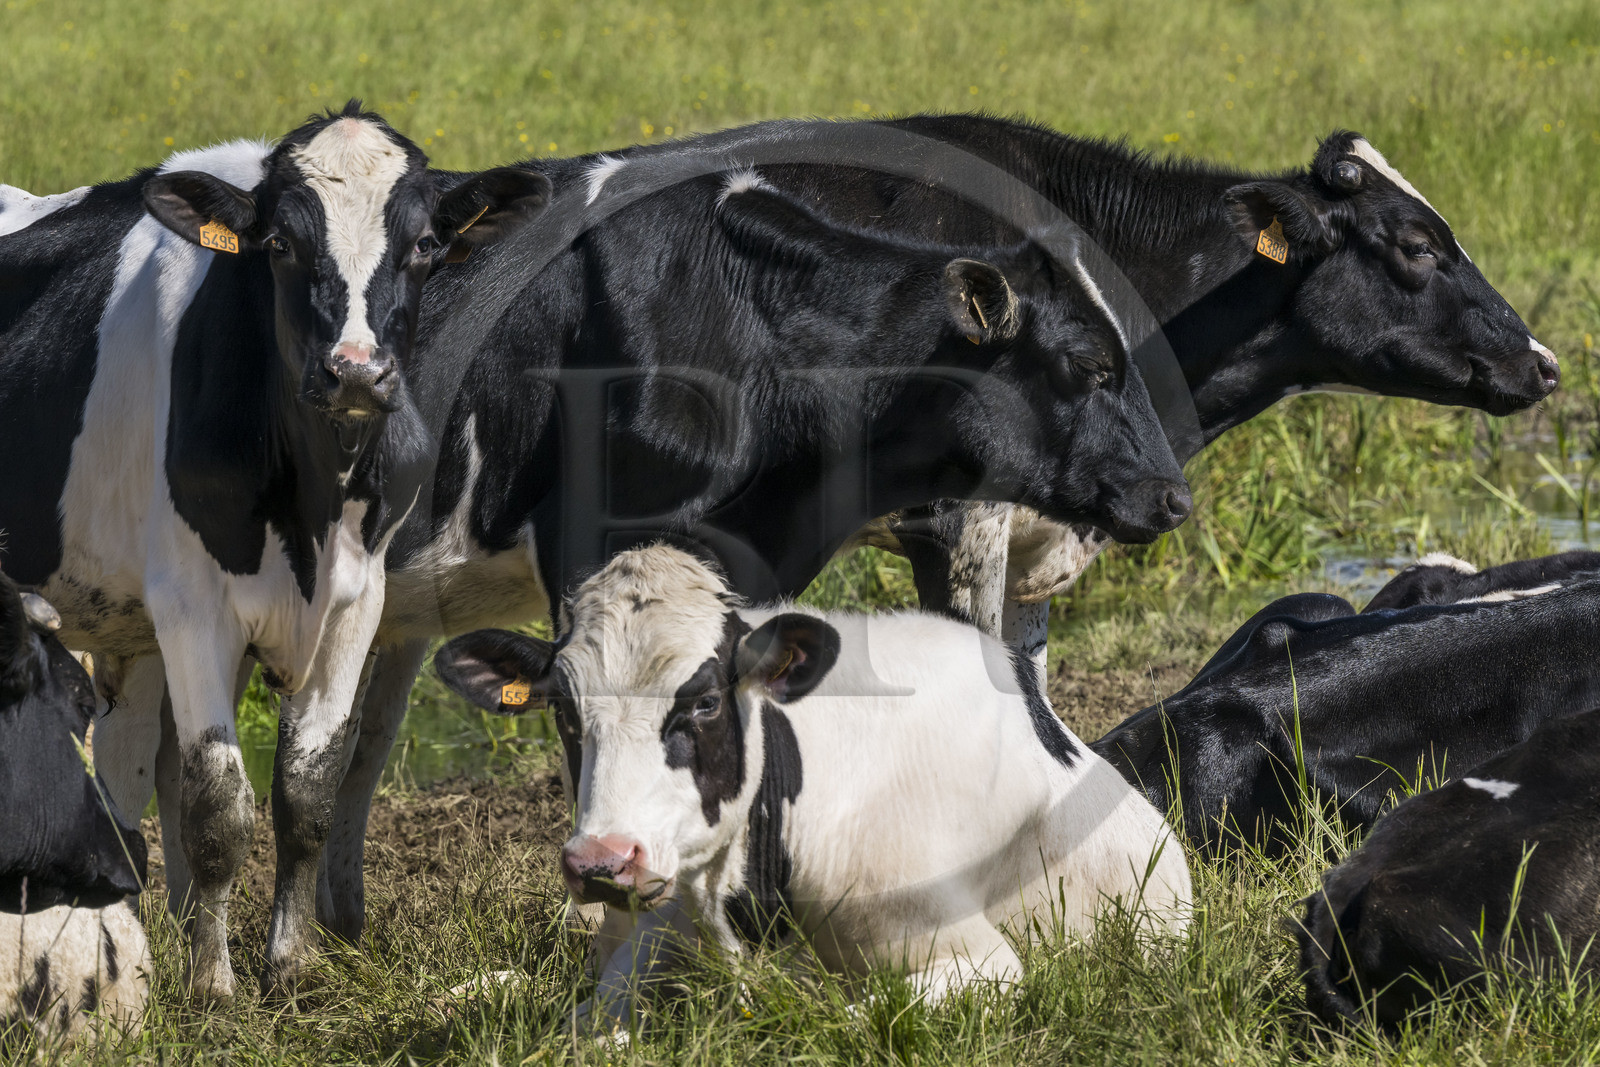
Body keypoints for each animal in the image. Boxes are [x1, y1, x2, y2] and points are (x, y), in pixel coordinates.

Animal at [432, 544, 1192, 1033]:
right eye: (564, 709)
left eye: (705, 702)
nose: (603, 860)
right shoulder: (656, 928)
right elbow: (579, 1023)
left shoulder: (983, 960)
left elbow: (848, 1017)